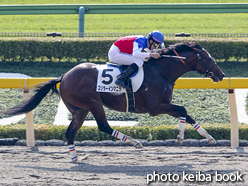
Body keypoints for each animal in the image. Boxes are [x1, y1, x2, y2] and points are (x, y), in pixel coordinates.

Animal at [2, 42, 225, 161]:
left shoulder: (161, 106)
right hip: (93, 103)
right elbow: (183, 109)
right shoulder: (155, 107)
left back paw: (75, 157)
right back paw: (135, 142)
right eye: (209, 59)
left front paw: (203, 137)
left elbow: (184, 112)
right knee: (103, 126)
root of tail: (63, 77)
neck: (161, 71)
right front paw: (189, 137)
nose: (221, 75)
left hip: (80, 110)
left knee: (70, 132)